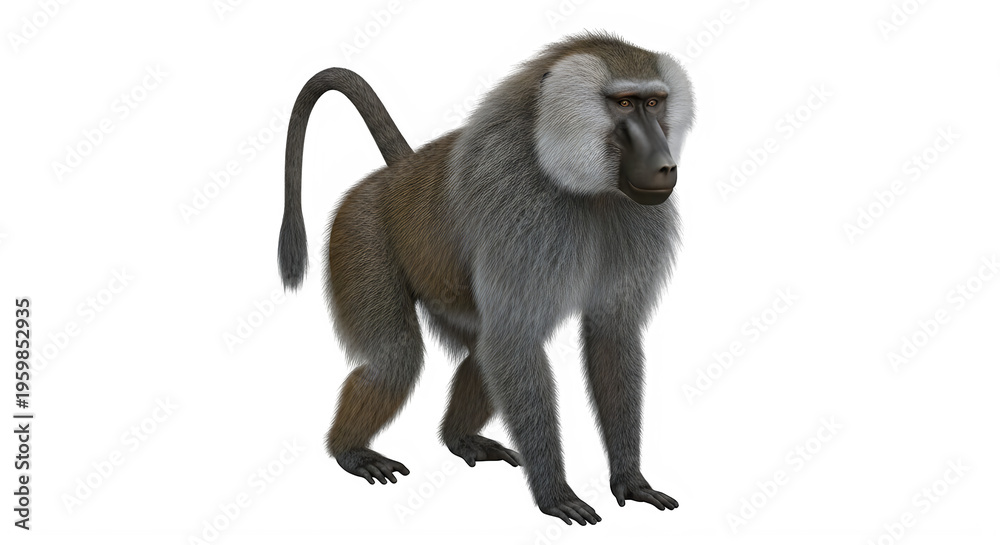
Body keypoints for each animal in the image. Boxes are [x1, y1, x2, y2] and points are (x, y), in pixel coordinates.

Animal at [278, 32, 694, 525]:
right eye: (625, 103)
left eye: (654, 102)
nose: (665, 166)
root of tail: (395, 176)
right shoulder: (521, 210)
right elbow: (514, 340)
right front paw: (554, 493)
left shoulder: (636, 218)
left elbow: (610, 334)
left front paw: (630, 480)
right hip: (357, 229)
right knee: (397, 358)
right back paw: (350, 451)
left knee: (480, 351)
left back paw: (459, 439)